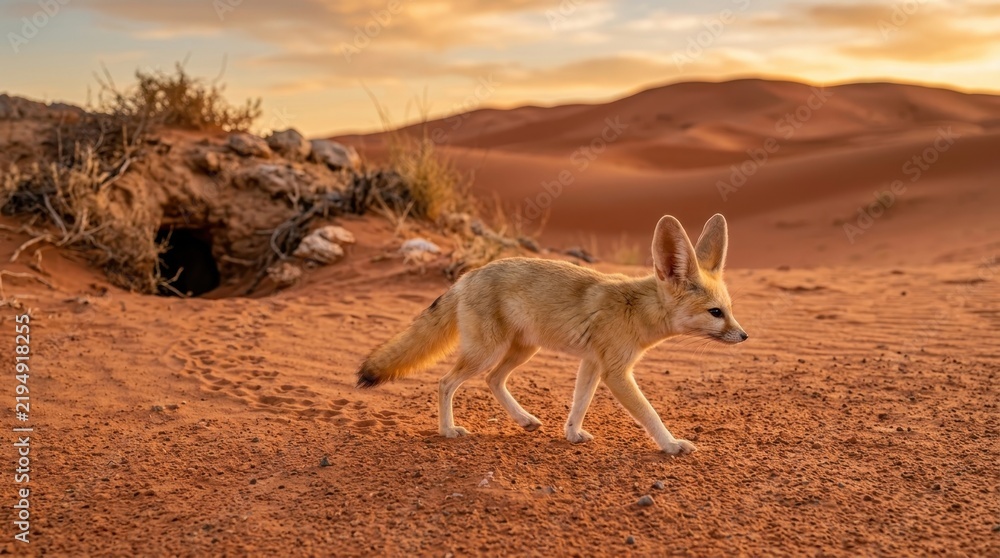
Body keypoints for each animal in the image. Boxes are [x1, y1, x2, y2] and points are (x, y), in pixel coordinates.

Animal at [356, 214, 747, 454]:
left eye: (729, 309)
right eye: (716, 313)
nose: (744, 336)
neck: (636, 308)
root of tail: (467, 276)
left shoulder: (592, 364)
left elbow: (579, 403)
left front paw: (572, 434)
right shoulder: (616, 372)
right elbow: (649, 413)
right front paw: (671, 445)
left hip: (522, 350)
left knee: (493, 380)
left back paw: (524, 420)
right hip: (486, 352)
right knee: (445, 382)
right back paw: (448, 430)